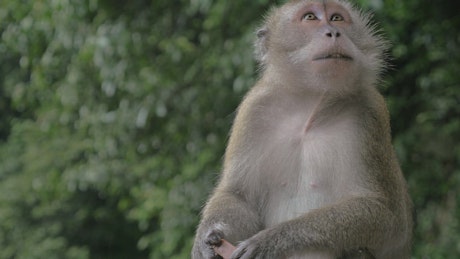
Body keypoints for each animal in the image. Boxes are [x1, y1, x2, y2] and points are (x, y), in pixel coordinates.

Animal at [190, 0, 414, 258]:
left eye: (337, 18)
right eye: (310, 17)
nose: (334, 32)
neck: (309, 107)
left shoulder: (371, 113)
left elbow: (386, 217)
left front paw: (273, 240)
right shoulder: (254, 110)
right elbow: (238, 194)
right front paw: (208, 237)